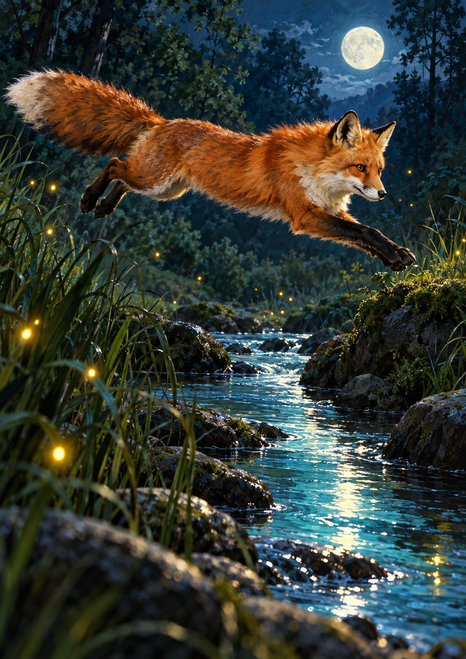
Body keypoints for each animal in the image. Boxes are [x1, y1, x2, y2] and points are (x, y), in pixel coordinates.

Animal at [5, 70, 416, 271]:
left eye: (379, 170)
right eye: (360, 167)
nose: (383, 193)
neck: (314, 170)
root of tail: (162, 121)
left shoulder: (329, 210)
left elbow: (365, 235)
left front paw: (393, 256)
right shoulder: (304, 213)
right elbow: (364, 231)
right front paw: (395, 255)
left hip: (165, 190)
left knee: (122, 177)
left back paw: (106, 207)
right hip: (155, 181)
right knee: (114, 164)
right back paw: (91, 200)